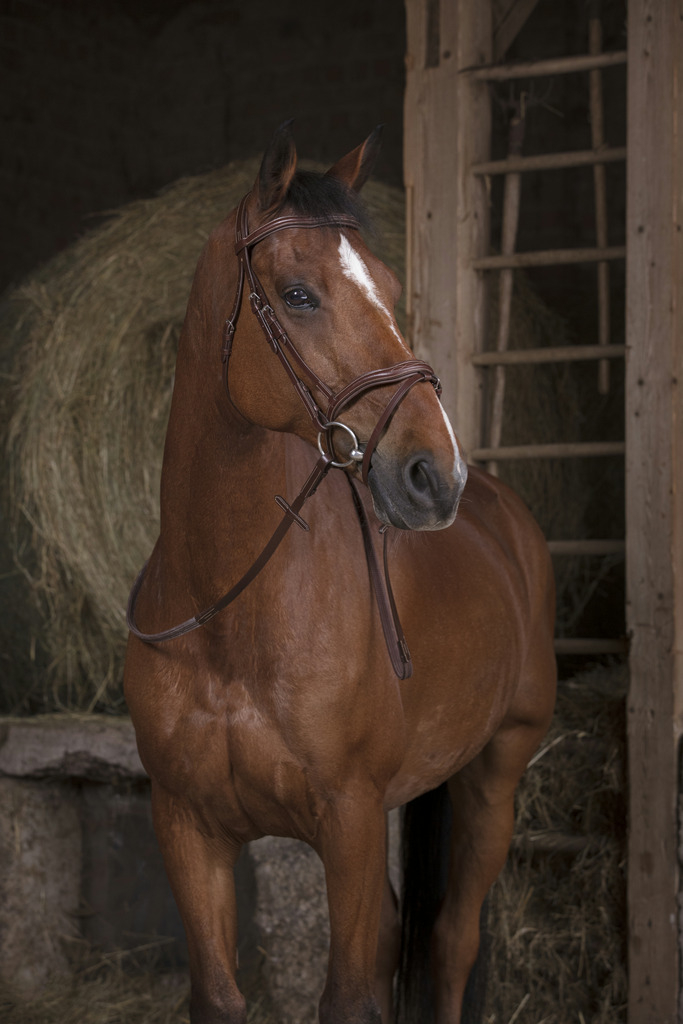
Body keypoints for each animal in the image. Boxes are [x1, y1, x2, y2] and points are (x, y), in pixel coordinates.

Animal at [124, 121, 557, 1024]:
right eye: (297, 295)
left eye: (389, 288)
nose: (432, 475)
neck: (229, 618)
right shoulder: (186, 828)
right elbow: (220, 995)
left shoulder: (351, 824)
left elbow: (353, 996)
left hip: (496, 775)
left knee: (451, 941)